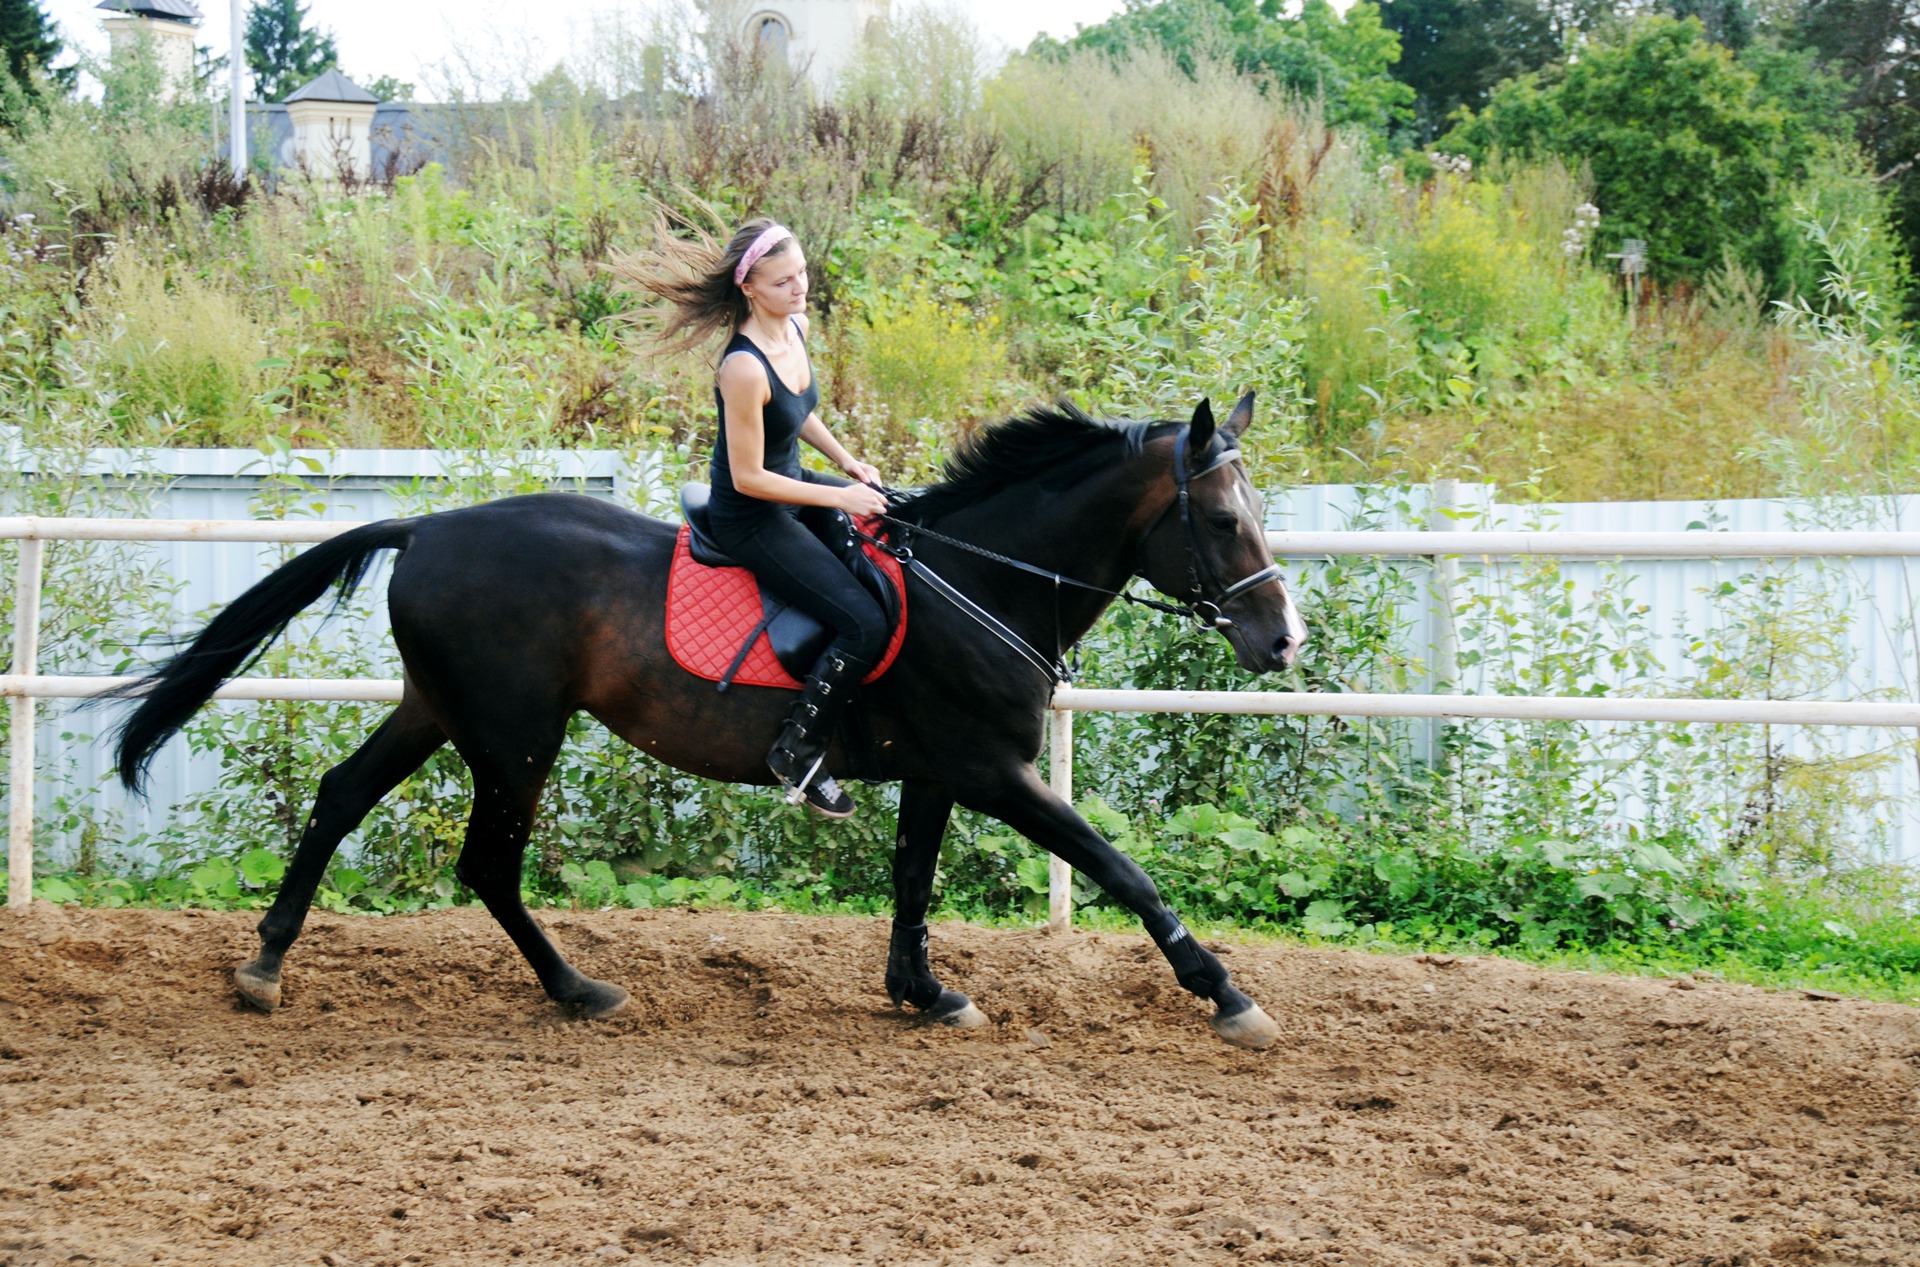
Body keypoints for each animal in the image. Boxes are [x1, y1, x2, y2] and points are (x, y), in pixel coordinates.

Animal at [116, 395, 1305, 1051]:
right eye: (1223, 520)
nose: (1285, 639)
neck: (980, 581)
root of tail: (430, 526)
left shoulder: (938, 772)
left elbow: (912, 882)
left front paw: (922, 993)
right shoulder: (991, 769)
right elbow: (1121, 868)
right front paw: (1227, 993)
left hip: (439, 711)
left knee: (340, 798)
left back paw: (266, 965)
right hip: (514, 733)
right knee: (487, 861)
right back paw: (579, 989)